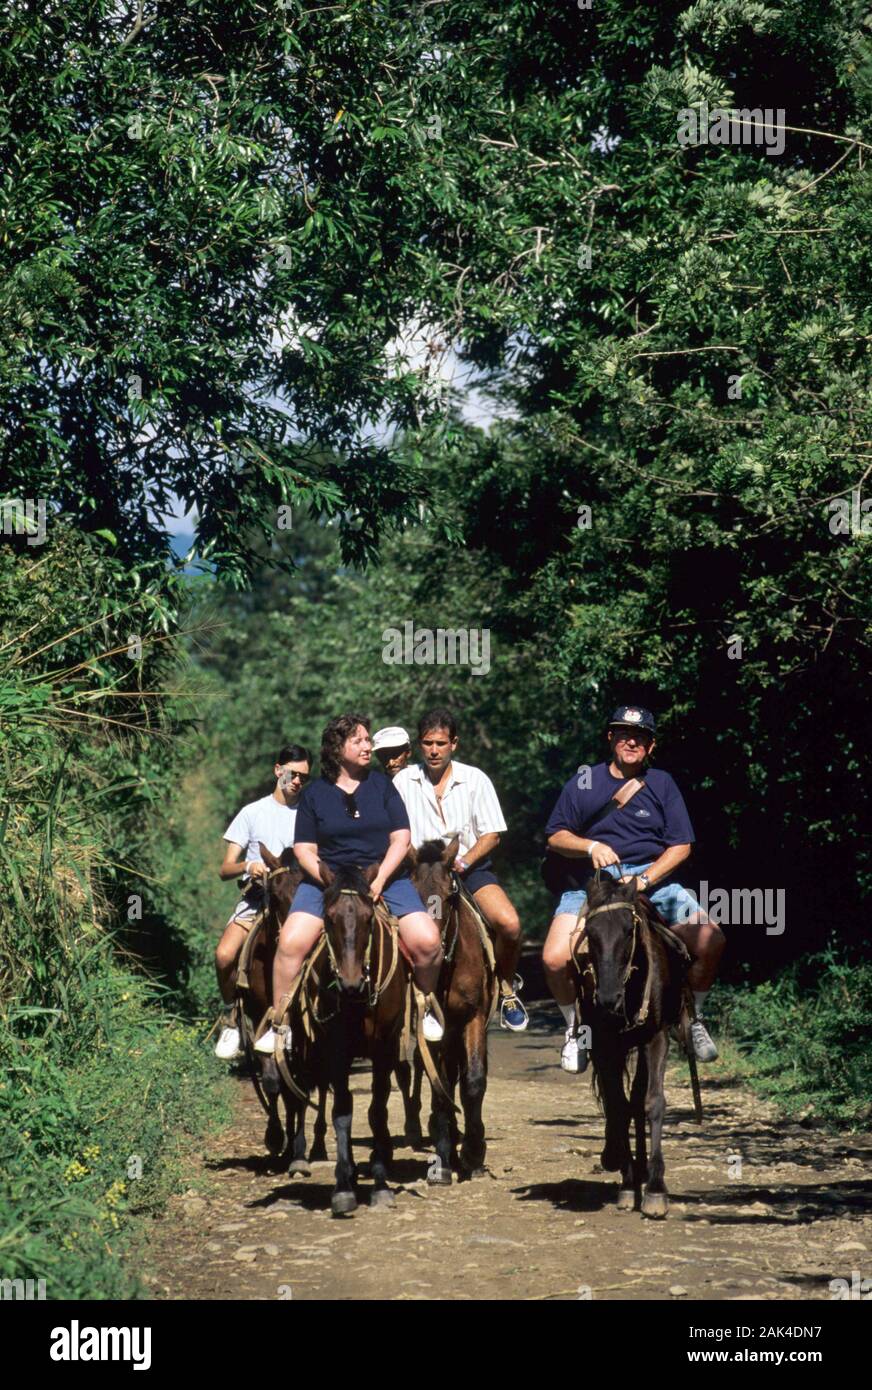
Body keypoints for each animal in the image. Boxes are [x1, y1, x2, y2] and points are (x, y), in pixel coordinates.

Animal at [286, 861, 408, 1212]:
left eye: (368, 919)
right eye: (328, 917)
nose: (350, 983)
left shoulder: (384, 1048)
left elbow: (377, 1111)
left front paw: (380, 1184)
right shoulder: (336, 1049)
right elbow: (342, 1112)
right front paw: (343, 1187)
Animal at [406, 834, 495, 1184]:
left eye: (449, 895)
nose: (427, 951)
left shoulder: (474, 1017)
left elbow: (473, 1081)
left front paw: (474, 1152)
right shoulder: (434, 1029)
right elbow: (439, 1085)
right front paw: (444, 1158)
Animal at [575, 872, 692, 1223]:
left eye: (629, 930)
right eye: (590, 933)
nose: (608, 999)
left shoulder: (655, 1038)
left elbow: (652, 1103)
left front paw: (655, 1190)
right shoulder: (604, 1046)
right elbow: (618, 1106)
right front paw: (627, 1184)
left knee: (640, 1097)